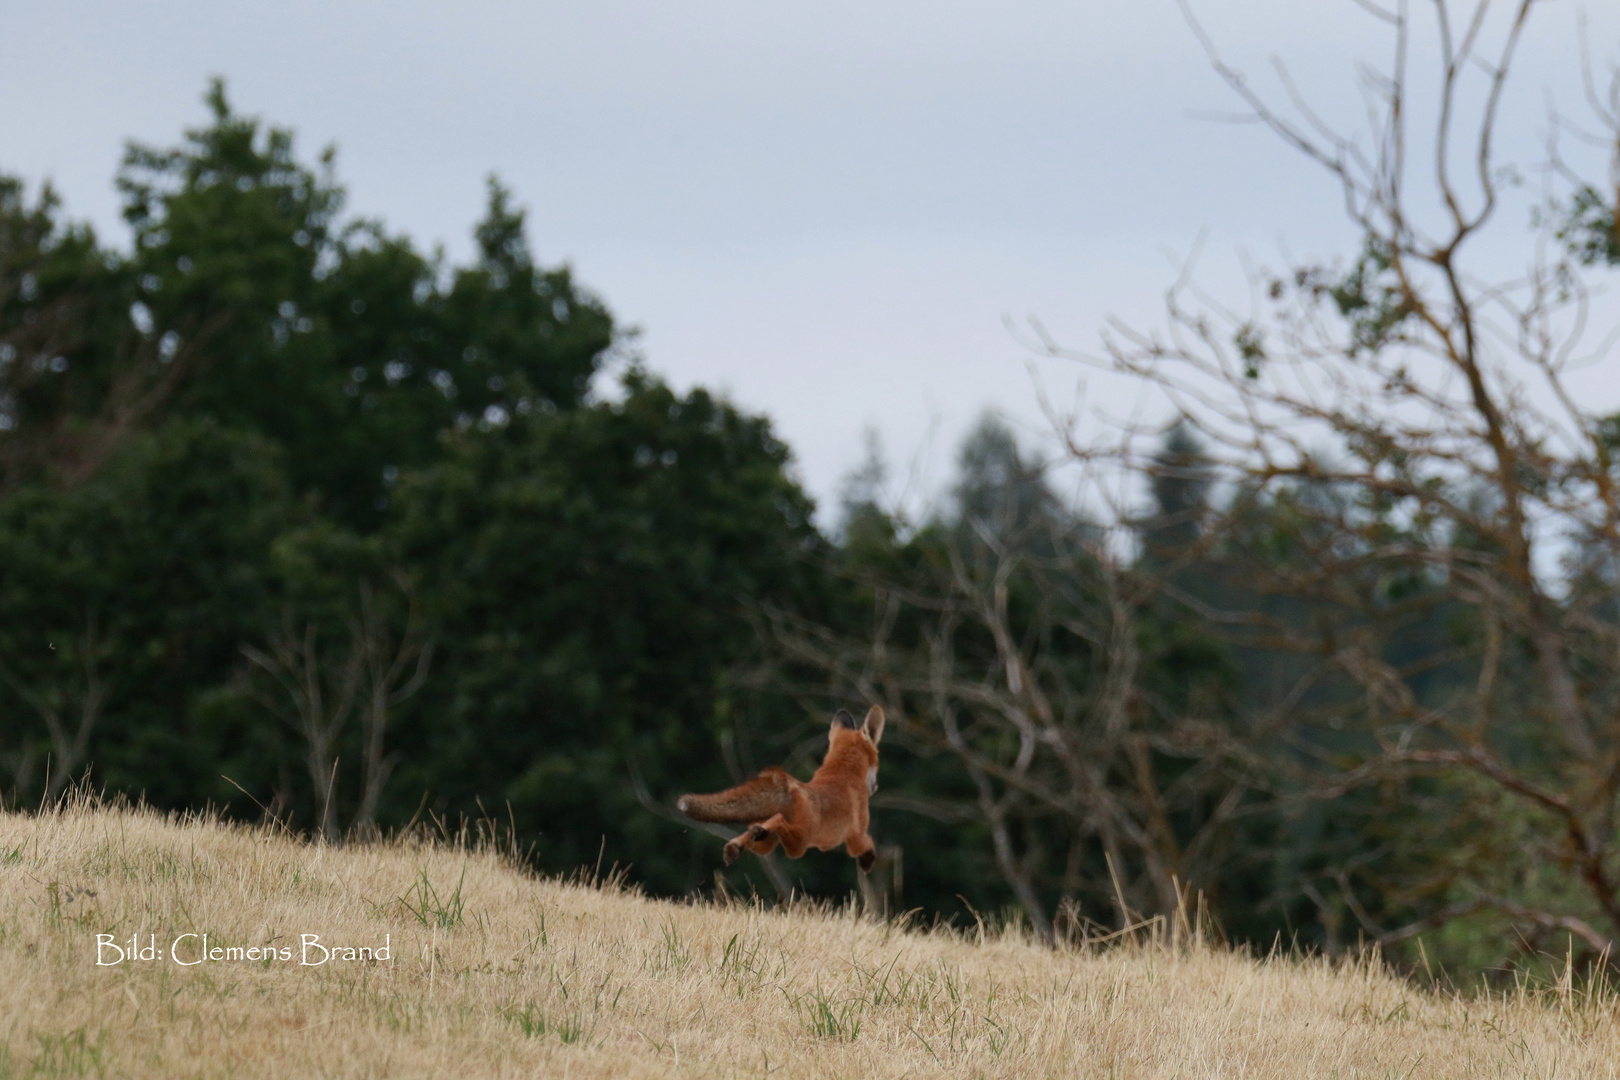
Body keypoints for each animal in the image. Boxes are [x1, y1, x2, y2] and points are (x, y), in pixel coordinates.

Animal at [680, 705, 894, 874]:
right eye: (878, 761)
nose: (875, 787)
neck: (842, 772)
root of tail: (792, 787)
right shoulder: (855, 837)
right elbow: (868, 844)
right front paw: (867, 861)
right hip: (799, 845)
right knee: (779, 825)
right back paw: (757, 832)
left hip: (767, 847)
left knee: (759, 831)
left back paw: (738, 844)